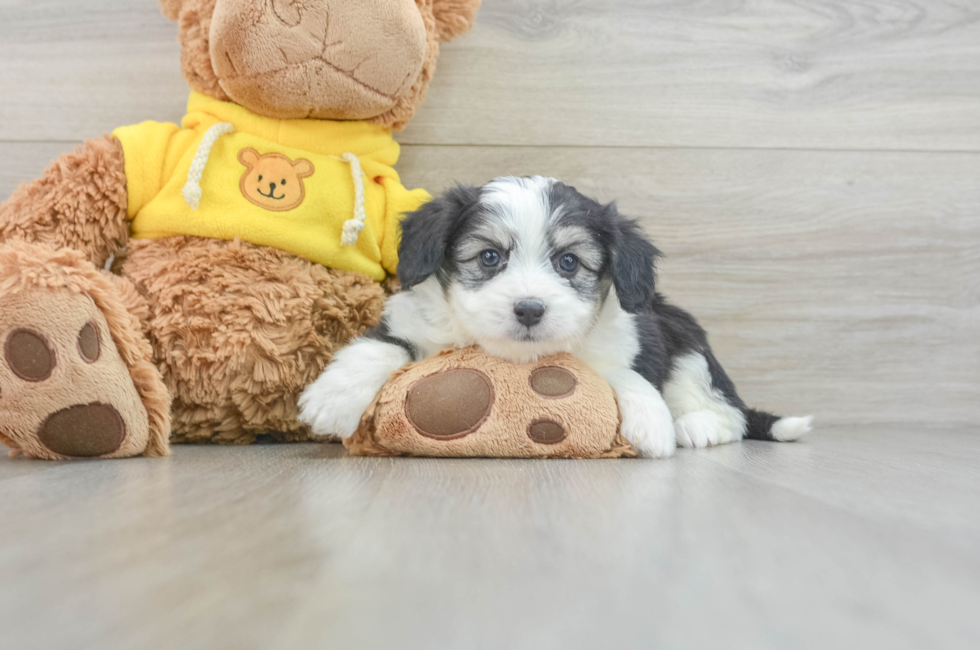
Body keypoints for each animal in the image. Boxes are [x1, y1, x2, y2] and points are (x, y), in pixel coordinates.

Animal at [298, 175, 812, 454]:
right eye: (489, 257)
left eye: (568, 262)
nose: (529, 309)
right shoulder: (410, 322)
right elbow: (378, 348)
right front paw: (332, 401)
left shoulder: (622, 342)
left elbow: (620, 373)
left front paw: (652, 423)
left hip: (686, 342)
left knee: (730, 412)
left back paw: (695, 426)